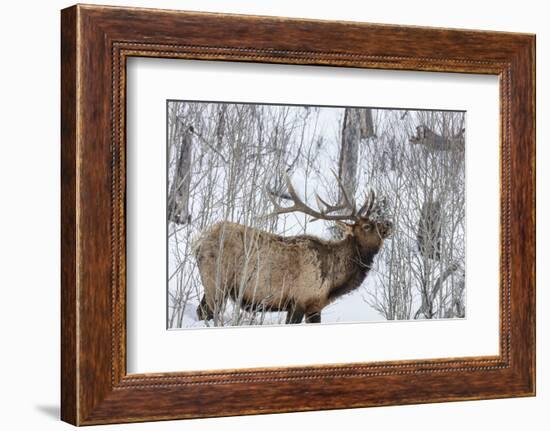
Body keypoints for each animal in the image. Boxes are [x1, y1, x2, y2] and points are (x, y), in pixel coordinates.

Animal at [193, 175, 392, 324]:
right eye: (367, 226)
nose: (389, 223)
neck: (333, 282)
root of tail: (199, 242)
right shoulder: (299, 300)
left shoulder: (314, 306)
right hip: (216, 281)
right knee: (206, 313)